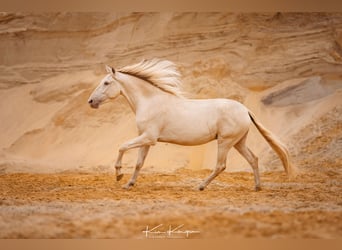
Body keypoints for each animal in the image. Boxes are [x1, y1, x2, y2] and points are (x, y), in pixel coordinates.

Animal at [87, 59, 292, 191]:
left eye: (106, 83)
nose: (91, 102)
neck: (150, 101)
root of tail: (245, 110)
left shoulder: (149, 138)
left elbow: (122, 147)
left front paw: (119, 175)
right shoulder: (146, 140)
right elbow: (139, 163)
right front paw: (128, 184)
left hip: (225, 142)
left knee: (221, 165)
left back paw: (200, 186)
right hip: (238, 142)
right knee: (253, 159)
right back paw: (257, 187)